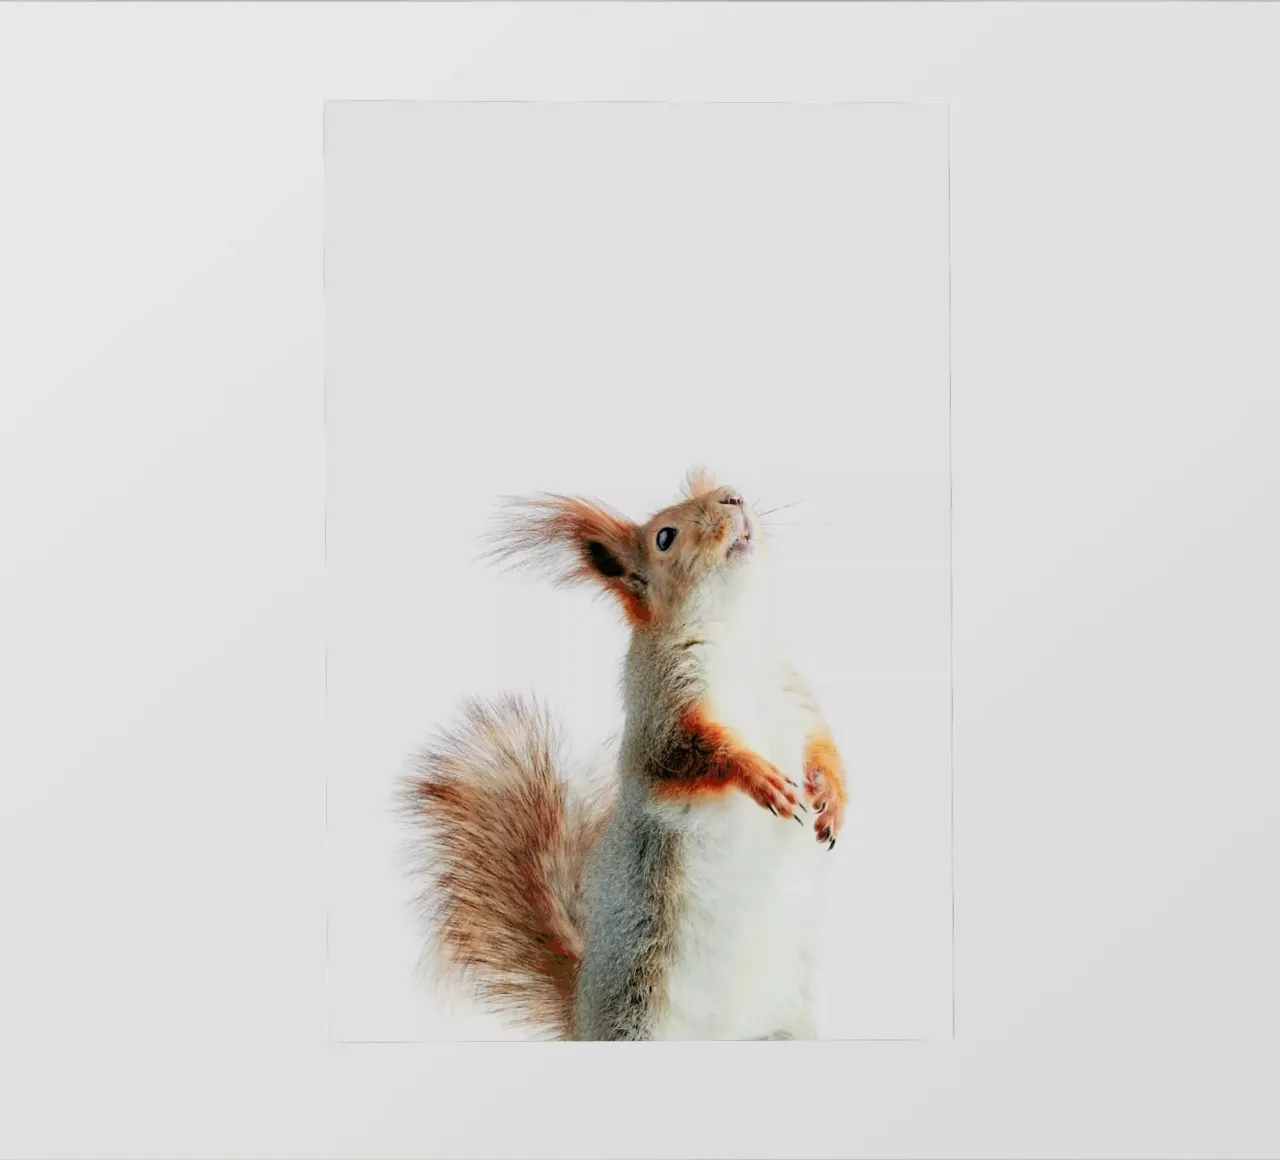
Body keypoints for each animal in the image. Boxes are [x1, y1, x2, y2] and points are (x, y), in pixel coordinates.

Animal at [399, 467, 848, 1040]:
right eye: (665, 537)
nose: (734, 497)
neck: (734, 631)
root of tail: (581, 1011)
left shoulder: (796, 699)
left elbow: (825, 749)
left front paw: (833, 801)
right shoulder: (662, 715)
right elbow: (694, 756)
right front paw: (762, 779)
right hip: (638, 1011)